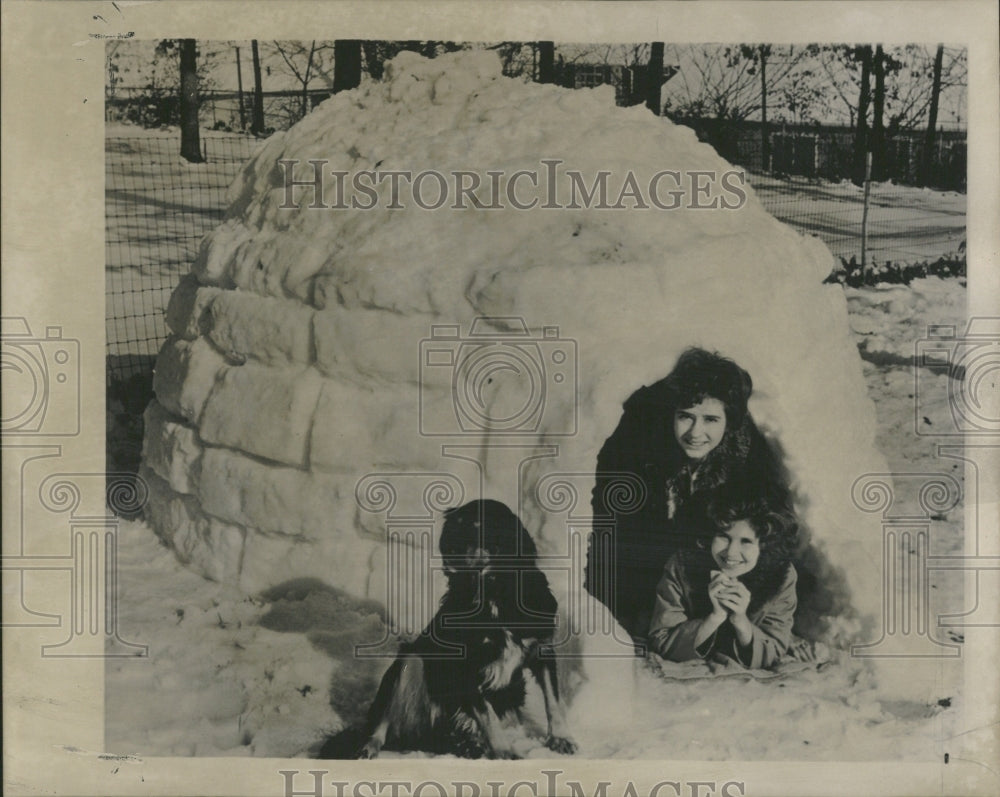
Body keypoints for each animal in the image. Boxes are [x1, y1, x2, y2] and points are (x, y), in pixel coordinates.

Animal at [358, 498, 580, 760]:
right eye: (456, 530)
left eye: (484, 531)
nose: (459, 561)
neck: (493, 594)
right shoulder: (466, 666)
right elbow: (487, 714)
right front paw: (505, 751)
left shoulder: (541, 649)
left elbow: (553, 700)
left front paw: (561, 738)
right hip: (410, 660)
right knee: (383, 720)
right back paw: (369, 747)